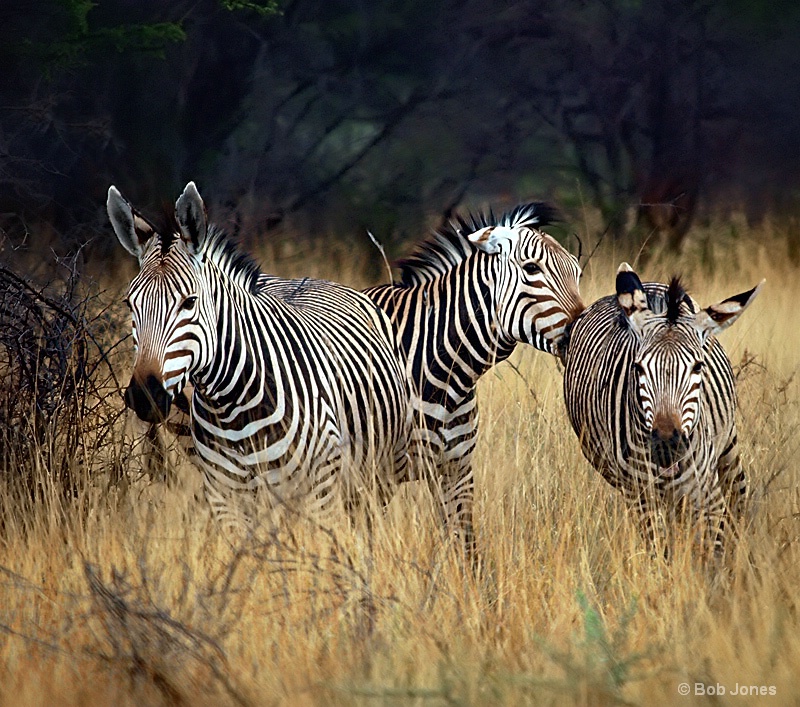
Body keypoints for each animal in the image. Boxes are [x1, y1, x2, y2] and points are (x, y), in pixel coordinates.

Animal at [108, 181, 412, 532]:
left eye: (189, 302)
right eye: (130, 303)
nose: (145, 397)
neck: (231, 406)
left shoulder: (318, 492)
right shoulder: (225, 498)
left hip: (376, 476)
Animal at [366, 205, 584, 560]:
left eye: (577, 273)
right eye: (531, 268)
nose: (581, 329)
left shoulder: (457, 469)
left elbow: (467, 550)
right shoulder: (374, 475)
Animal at [564, 262, 764, 556]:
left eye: (698, 367)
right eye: (638, 367)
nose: (667, 445)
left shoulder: (707, 493)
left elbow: (714, 551)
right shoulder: (640, 495)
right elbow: (659, 552)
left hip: (728, 448)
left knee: (737, 498)